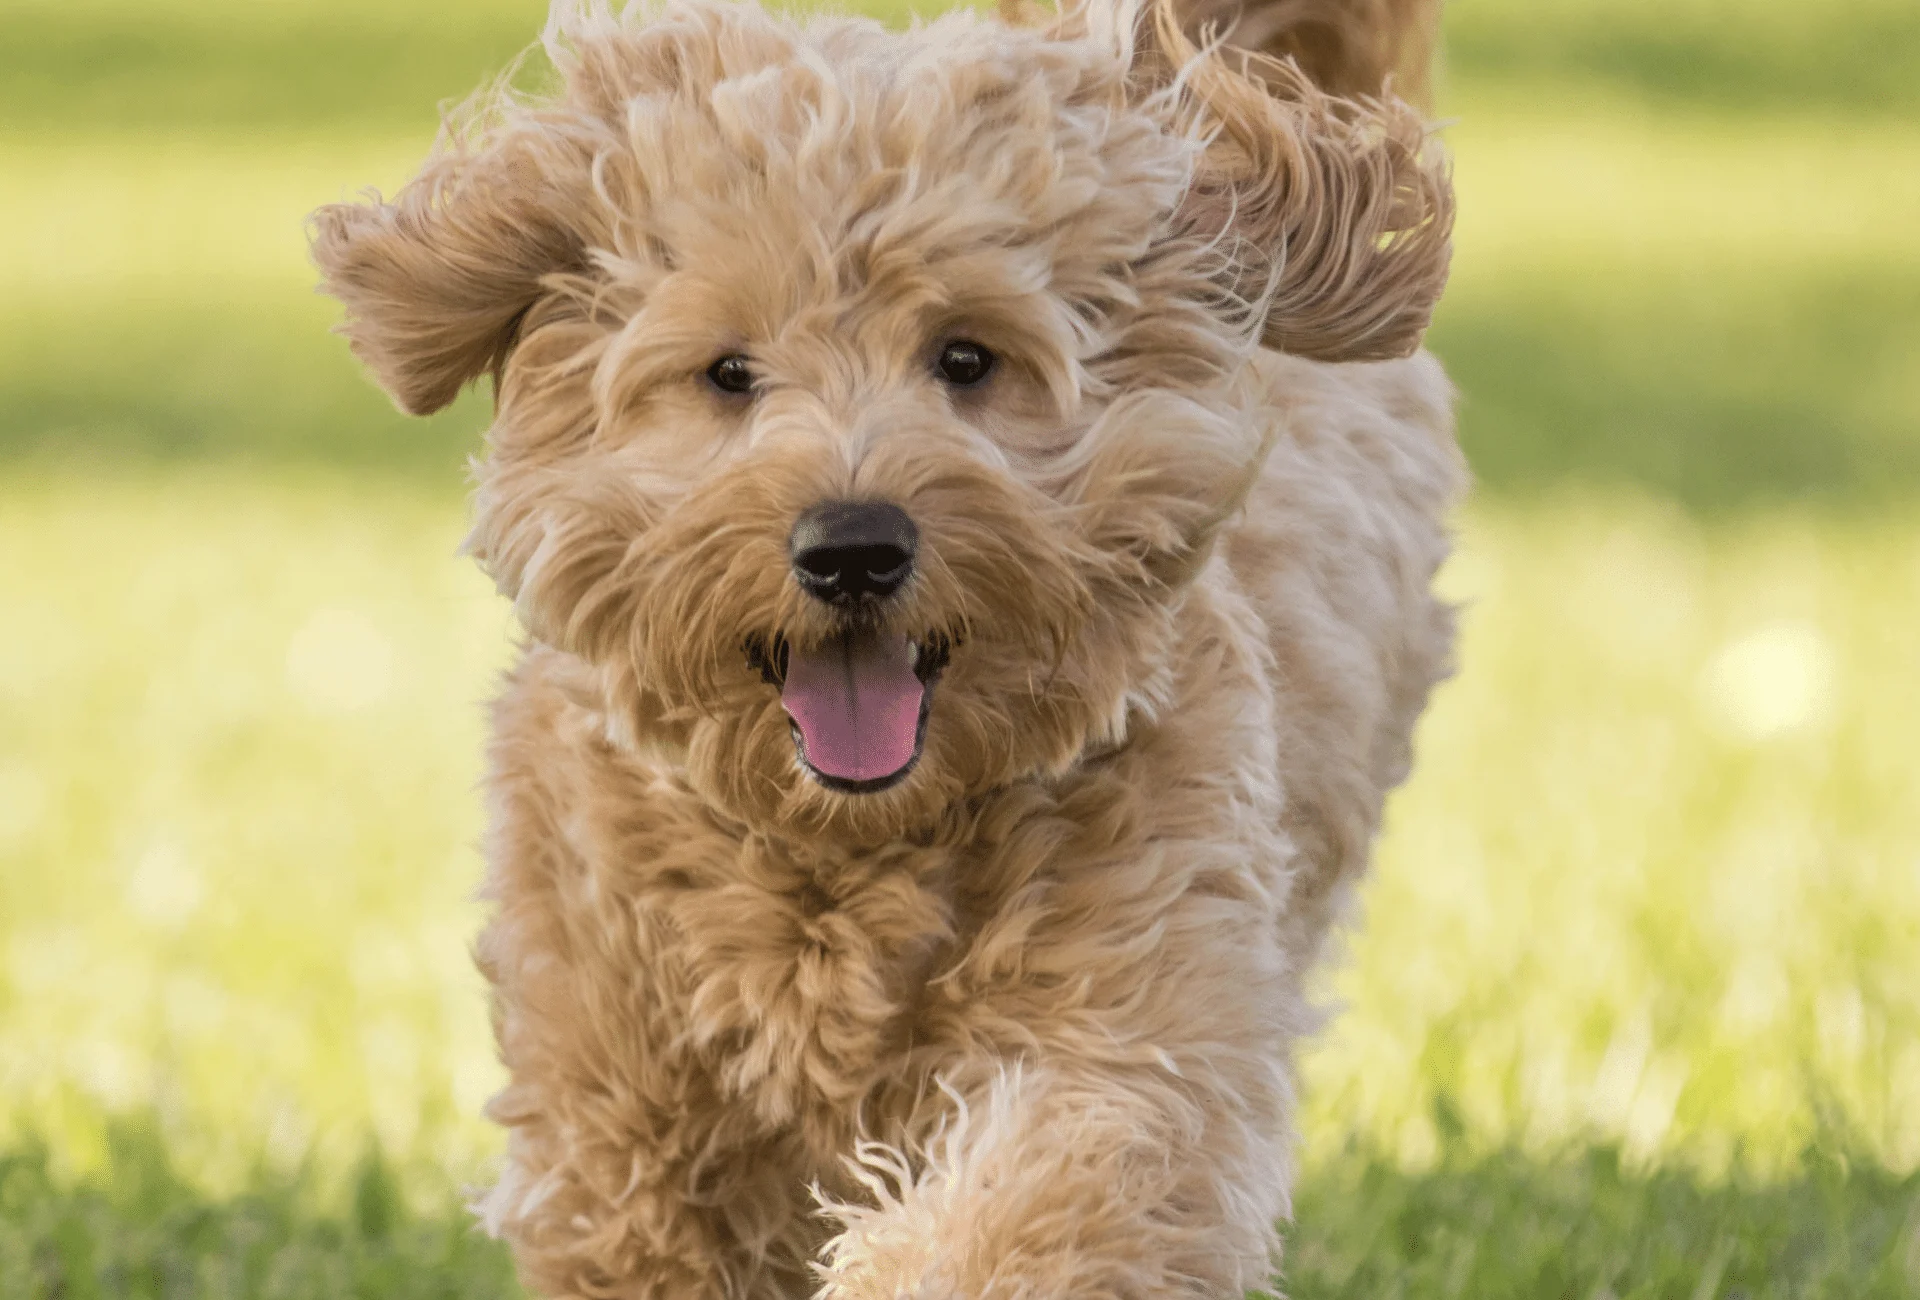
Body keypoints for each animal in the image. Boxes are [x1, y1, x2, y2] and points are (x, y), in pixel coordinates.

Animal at [311, 2, 1451, 1290]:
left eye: (966, 358)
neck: (845, 850)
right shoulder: (615, 1113)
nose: (851, 547)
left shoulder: (1131, 1011)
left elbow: (1047, 1198)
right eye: (730, 372)